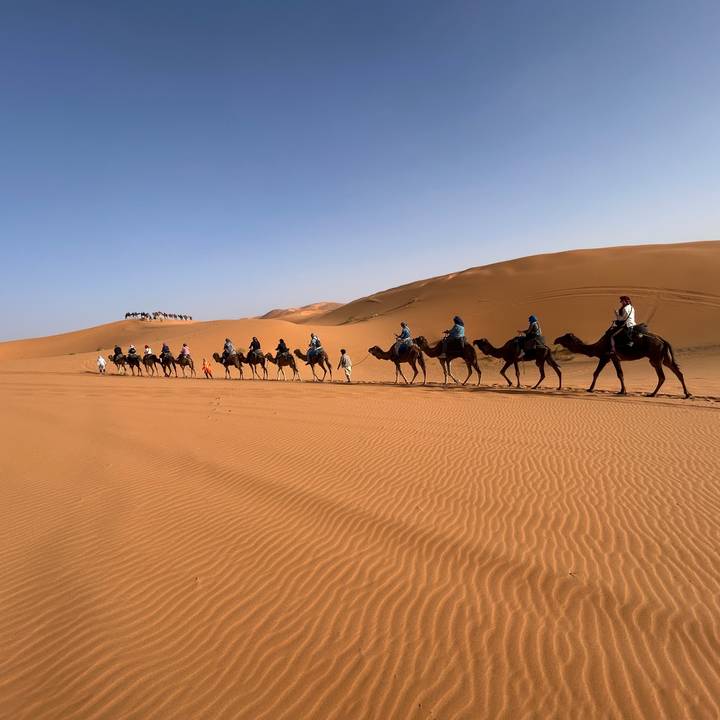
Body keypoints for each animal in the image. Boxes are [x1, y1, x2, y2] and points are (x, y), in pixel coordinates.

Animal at [554, 327, 691, 398]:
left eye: (565, 337)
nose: (556, 339)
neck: (597, 347)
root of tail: (664, 341)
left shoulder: (609, 356)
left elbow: (617, 374)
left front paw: (622, 391)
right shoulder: (607, 358)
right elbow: (598, 373)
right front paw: (591, 389)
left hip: (655, 358)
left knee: (662, 376)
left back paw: (652, 394)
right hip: (665, 358)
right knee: (678, 373)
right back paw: (687, 394)